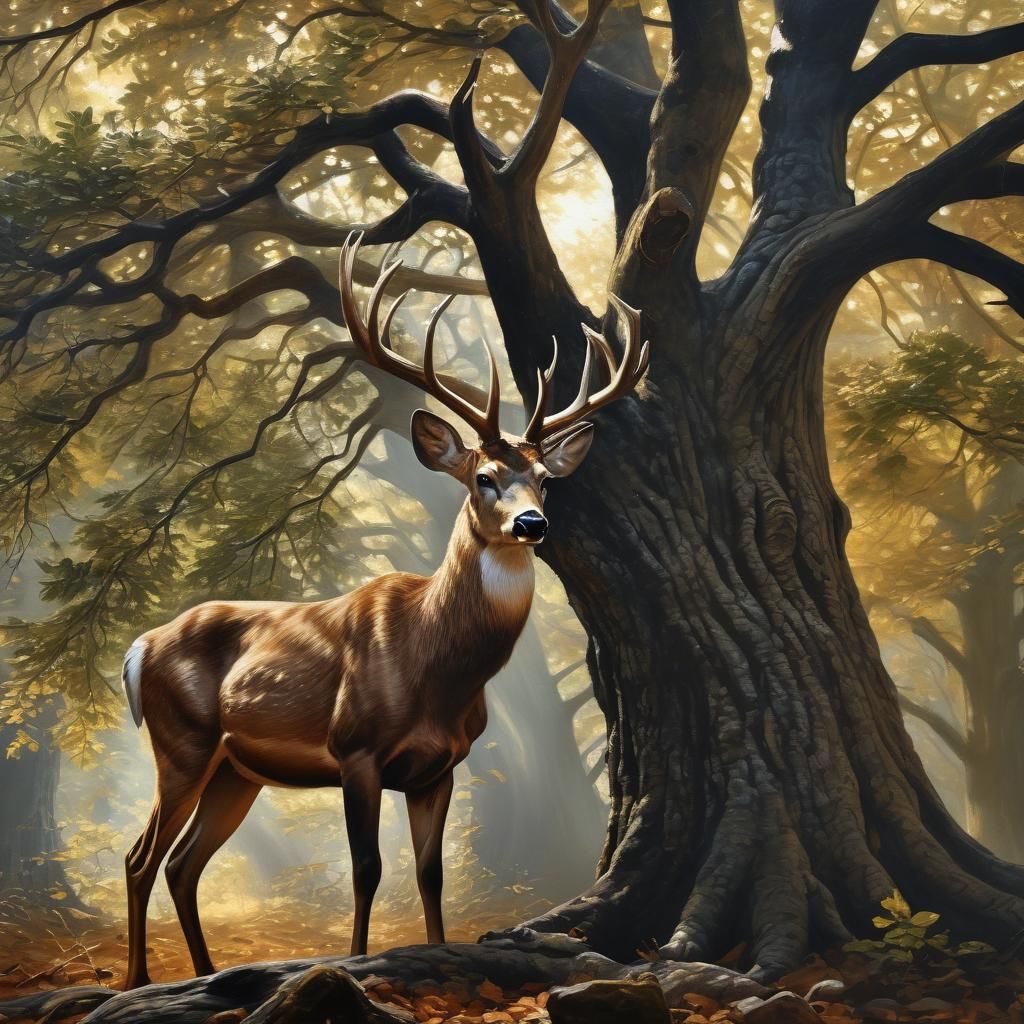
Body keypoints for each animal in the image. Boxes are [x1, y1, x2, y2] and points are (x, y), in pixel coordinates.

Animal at [120, 231, 648, 989]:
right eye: (484, 478)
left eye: (546, 479)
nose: (532, 524)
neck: (434, 665)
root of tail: (139, 649)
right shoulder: (356, 749)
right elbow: (367, 869)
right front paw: (356, 963)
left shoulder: (441, 767)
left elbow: (430, 873)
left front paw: (436, 954)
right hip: (182, 743)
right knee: (141, 857)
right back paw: (137, 981)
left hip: (235, 771)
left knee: (183, 865)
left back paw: (203, 973)